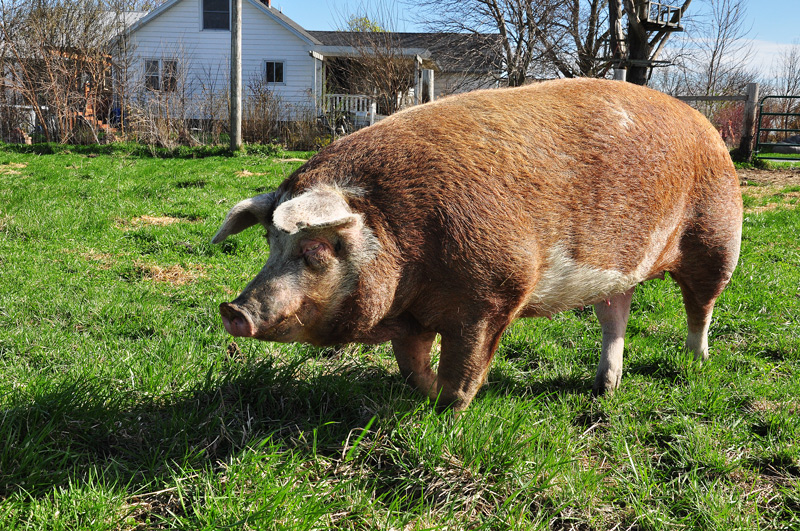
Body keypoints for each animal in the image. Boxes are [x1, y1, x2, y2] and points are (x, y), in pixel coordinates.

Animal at [212, 78, 742, 411]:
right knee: (615, 315)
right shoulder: (412, 317)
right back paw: (603, 390)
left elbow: (465, 368)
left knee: (702, 305)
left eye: (316, 249)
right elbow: (411, 368)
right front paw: (424, 394)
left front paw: (449, 410)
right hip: (617, 271)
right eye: (269, 241)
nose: (234, 311)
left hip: (718, 238)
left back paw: (696, 363)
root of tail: (707, 125)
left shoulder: (495, 293)